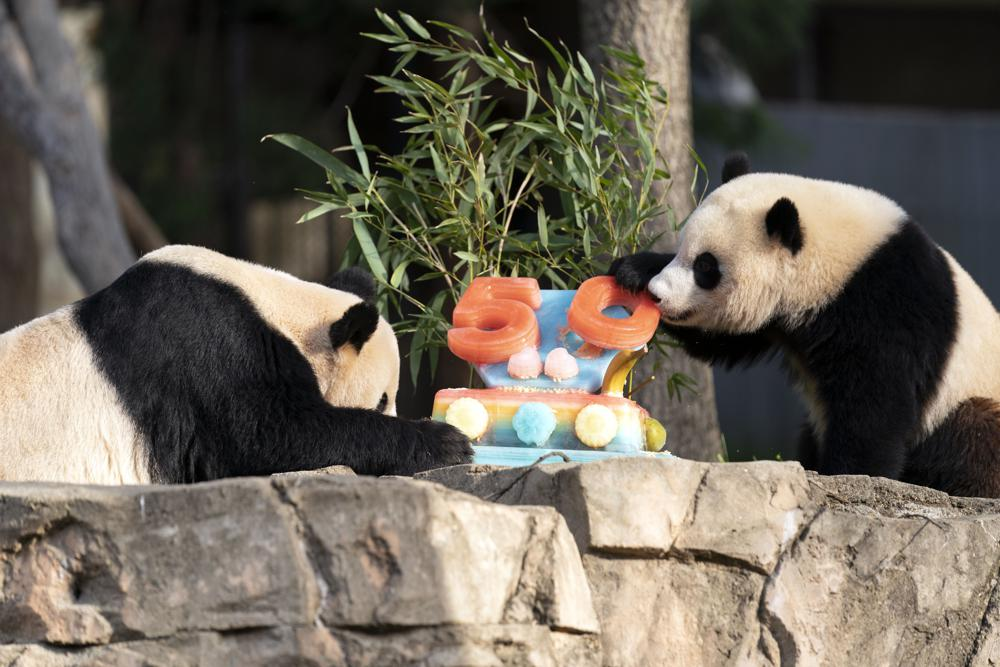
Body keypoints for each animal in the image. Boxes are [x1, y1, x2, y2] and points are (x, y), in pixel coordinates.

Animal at [608, 154, 1000, 498]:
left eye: (706, 266)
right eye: (680, 251)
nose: (658, 294)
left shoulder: (888, 303)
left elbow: (877, 403)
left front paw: (851, 475)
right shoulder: (779, 318)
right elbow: (724, 339)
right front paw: (632, 271)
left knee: (974, 437)